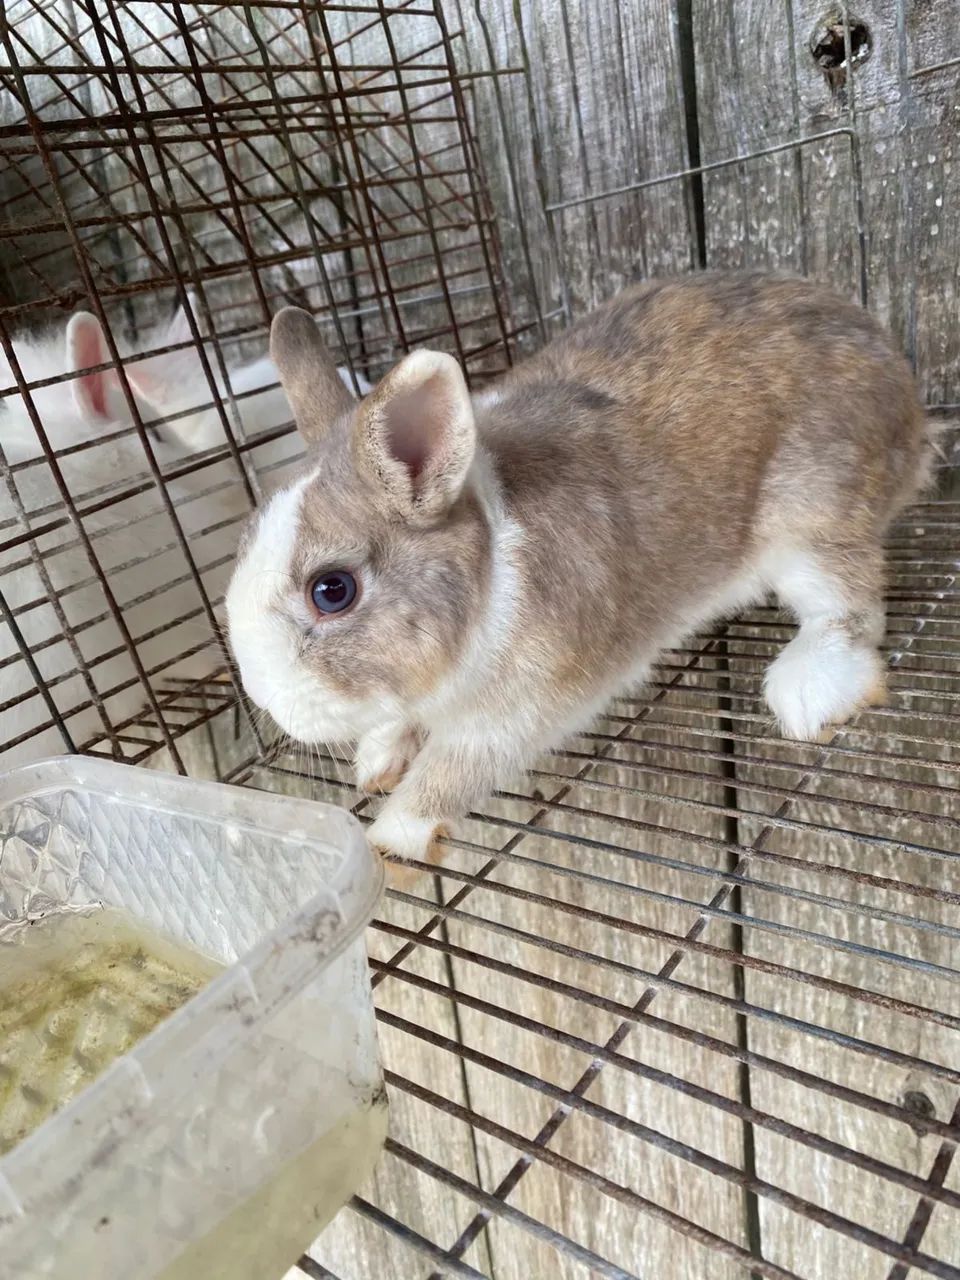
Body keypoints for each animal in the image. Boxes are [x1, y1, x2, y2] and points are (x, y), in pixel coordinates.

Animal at [223, 271, 929, 878]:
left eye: (332, 590)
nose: (264, 699)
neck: (489, 572)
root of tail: (902, 385)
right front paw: (375, 760)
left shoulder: (521, 706)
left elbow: (454, 771)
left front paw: (392, 838)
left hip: (811, 514)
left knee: (849, 604)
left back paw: (811, 693)